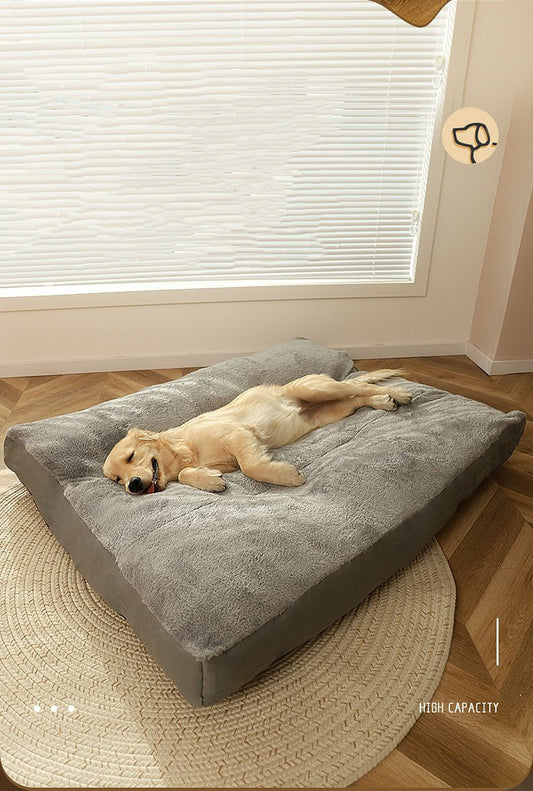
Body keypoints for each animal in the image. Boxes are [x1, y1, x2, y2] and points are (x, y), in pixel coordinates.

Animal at [103, 370, 411, 494]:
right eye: (117, 479)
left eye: (131, 457)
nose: (133, 485)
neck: (184, 449)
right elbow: (187, 473)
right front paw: (210, 481)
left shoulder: (236, 434)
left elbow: (251, 467)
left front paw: (288, 476)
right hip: (329, 412)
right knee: (358, 397)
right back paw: (385, 401)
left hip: (317, 389)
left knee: (359, 385)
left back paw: (398, 393)